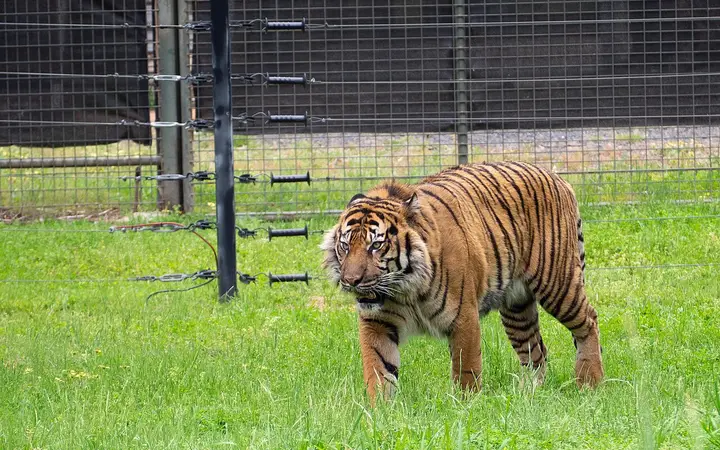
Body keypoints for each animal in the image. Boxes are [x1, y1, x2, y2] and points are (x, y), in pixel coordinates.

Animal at [321, 161, 604, 402]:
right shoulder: (377, 322)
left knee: (588, 321)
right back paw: (528, 395)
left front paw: (466, 406)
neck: (404, 289)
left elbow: (466, 369)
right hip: (517, 307)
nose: (350, 281)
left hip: (557, 283)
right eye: (345, 246)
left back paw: (590, 383)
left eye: (376, 246)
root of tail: (557, 178)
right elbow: (378, 369)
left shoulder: (463, 317)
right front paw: (379, 412)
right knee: (536, 351)